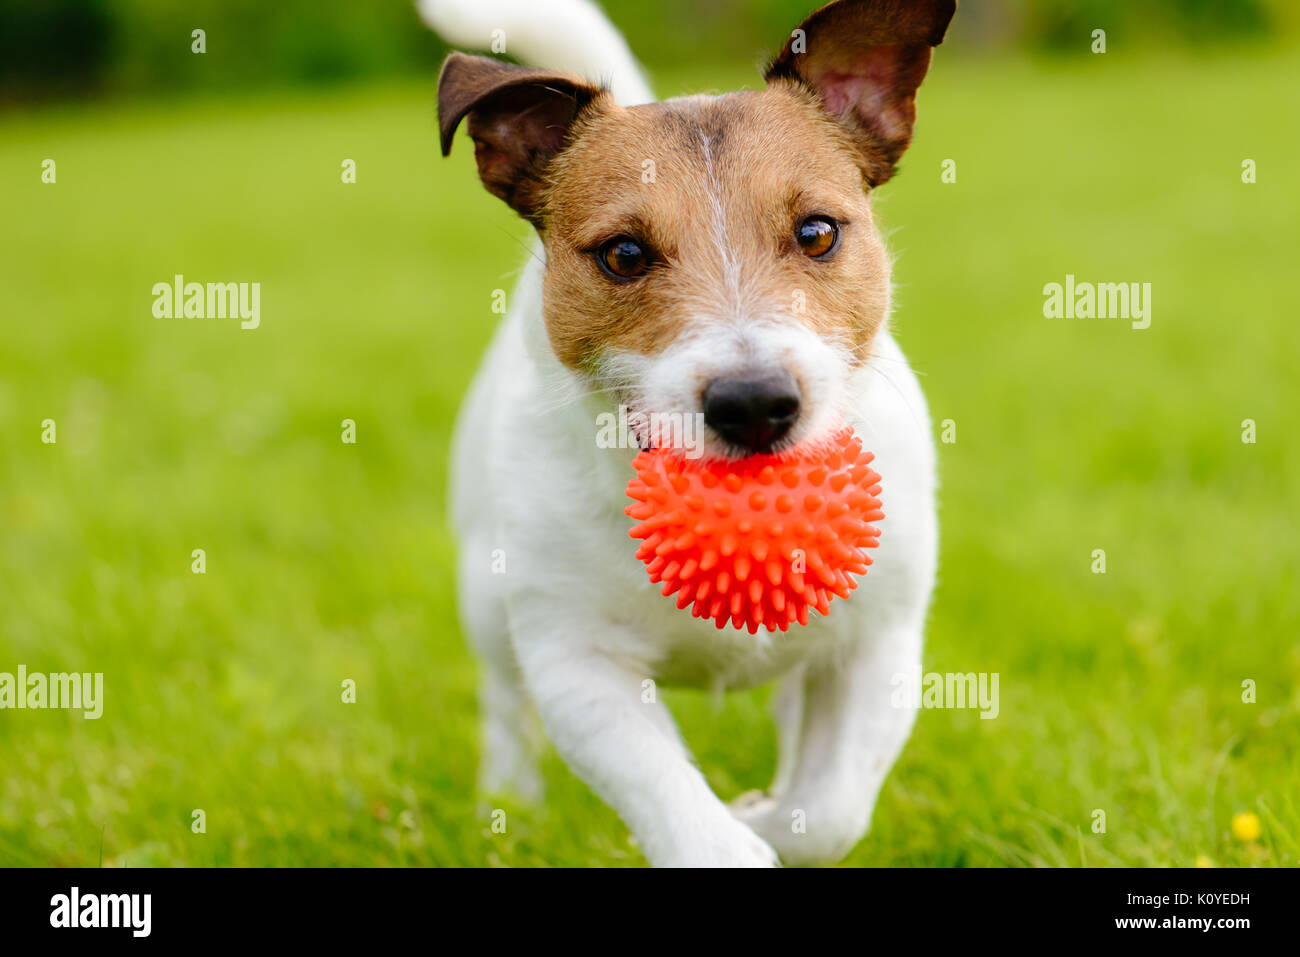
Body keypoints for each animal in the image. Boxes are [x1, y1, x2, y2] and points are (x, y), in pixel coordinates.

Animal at [421, 0, 951, 868]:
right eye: (624, 254)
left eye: (817, 232)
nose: (755, 402)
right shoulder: (577, 663)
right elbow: (683, 810)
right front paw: (737, 831)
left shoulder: (876, 645)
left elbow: (831, 808)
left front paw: (767, 813)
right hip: (485, 594)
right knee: (502, 699)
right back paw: (509, 800)